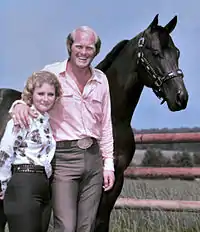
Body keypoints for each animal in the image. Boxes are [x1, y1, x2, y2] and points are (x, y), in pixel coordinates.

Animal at [0, 14, 188, 232]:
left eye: (177, 52)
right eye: (156, 53)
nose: (181, 97)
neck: (115, 119)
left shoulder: (114, 181)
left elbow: (100, 221)